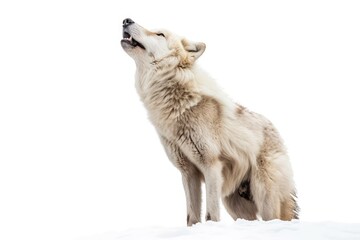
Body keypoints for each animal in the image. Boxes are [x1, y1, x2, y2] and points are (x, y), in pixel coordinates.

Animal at [121, 18, 298, 225]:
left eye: (160, 34)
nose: (126, 20)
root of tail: (276, 132)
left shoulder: (211, 166)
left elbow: (211, 214)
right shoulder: (188, 172)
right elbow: (192, 216)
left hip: (264, 196)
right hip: (235, 204)